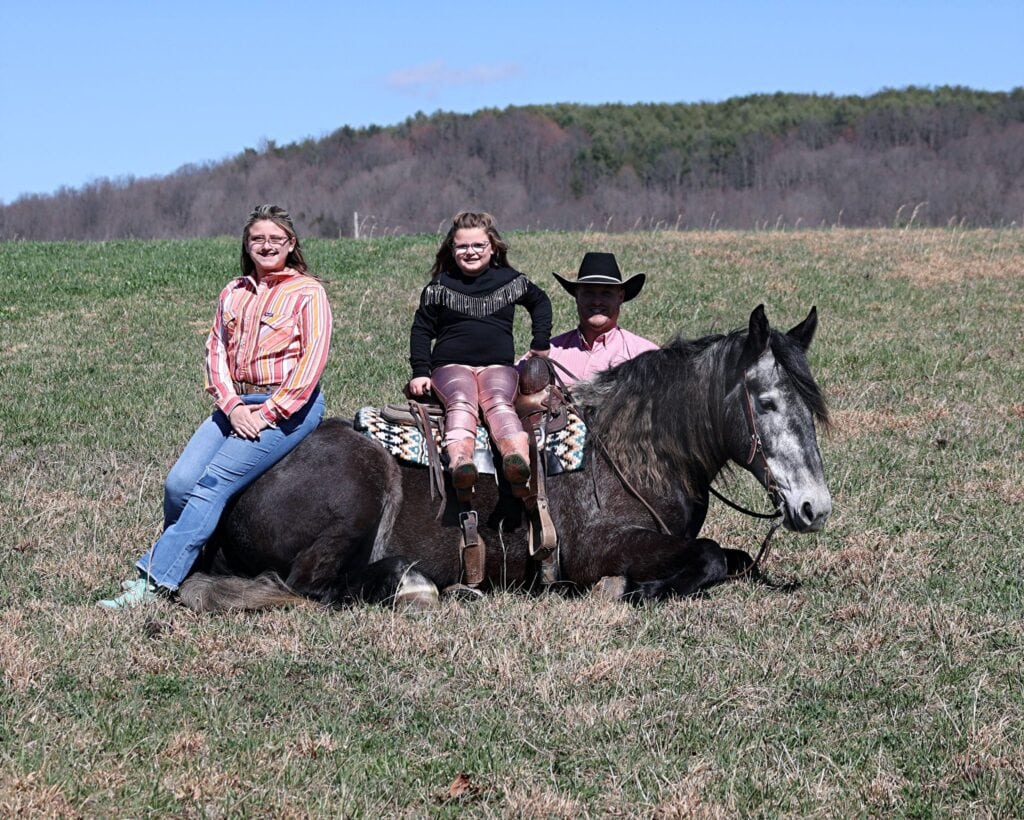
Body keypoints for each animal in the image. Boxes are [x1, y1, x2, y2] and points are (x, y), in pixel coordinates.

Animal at [179, 305, 831, 612]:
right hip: (354, 502)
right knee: (312, 586)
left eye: (813, 403)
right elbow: (712, 556)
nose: (814, 508)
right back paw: (412, 584)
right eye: (767, 402)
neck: (631, 450)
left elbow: (733, 557)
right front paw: (631, 590)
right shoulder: (597, 550)